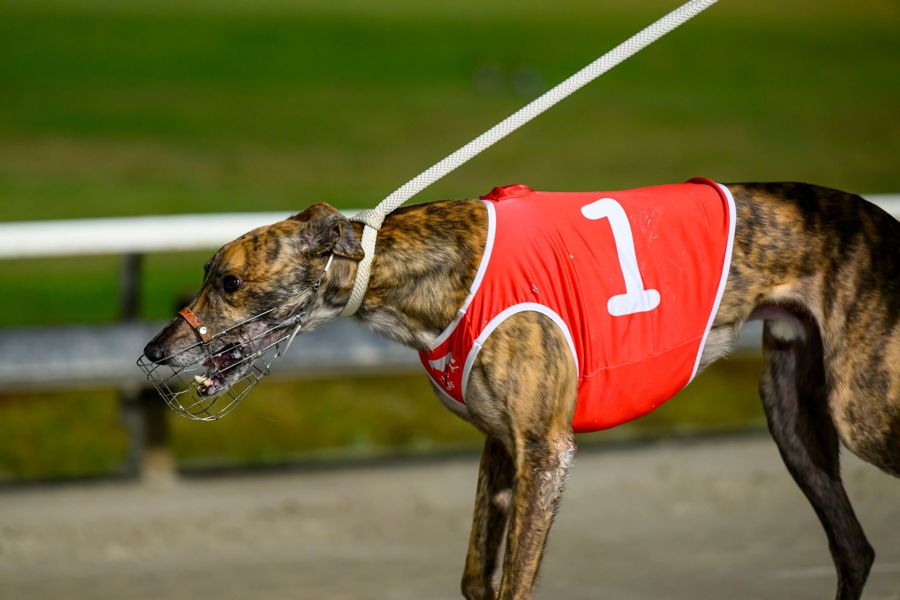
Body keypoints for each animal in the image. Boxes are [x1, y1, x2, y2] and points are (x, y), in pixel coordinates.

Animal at [143, 180, 899, 599]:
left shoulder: (545, 449)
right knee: (855, 548)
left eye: (230, 281)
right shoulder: (501, 447)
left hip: (861, 409)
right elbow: (477, 578)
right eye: (205, 275)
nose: (152, 352)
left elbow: (513, 585)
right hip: (791, 414)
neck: (431, 268)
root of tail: (886, 223)